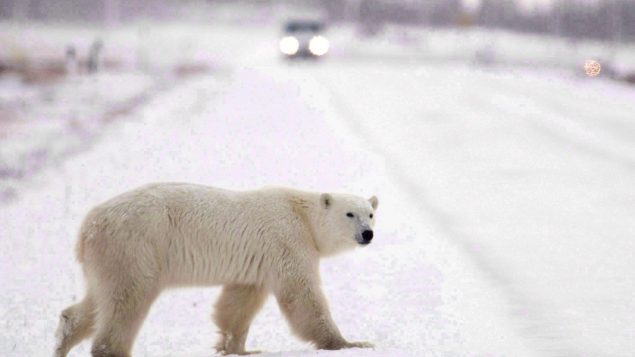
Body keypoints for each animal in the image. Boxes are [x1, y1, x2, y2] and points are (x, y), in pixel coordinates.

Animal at [53, 184, 378, 356]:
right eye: (350, 213)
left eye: (371, 213)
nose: (367, 233)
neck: (302, 214)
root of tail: (88, 226)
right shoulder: (287, 240)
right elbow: (302, 295)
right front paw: (350, 342)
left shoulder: (258, 262)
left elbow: (239, 303)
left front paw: (239, 348)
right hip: (135, 247)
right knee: (127, 299)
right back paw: (112, 349)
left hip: (108, 258)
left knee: (94, 302)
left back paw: (62, 342)